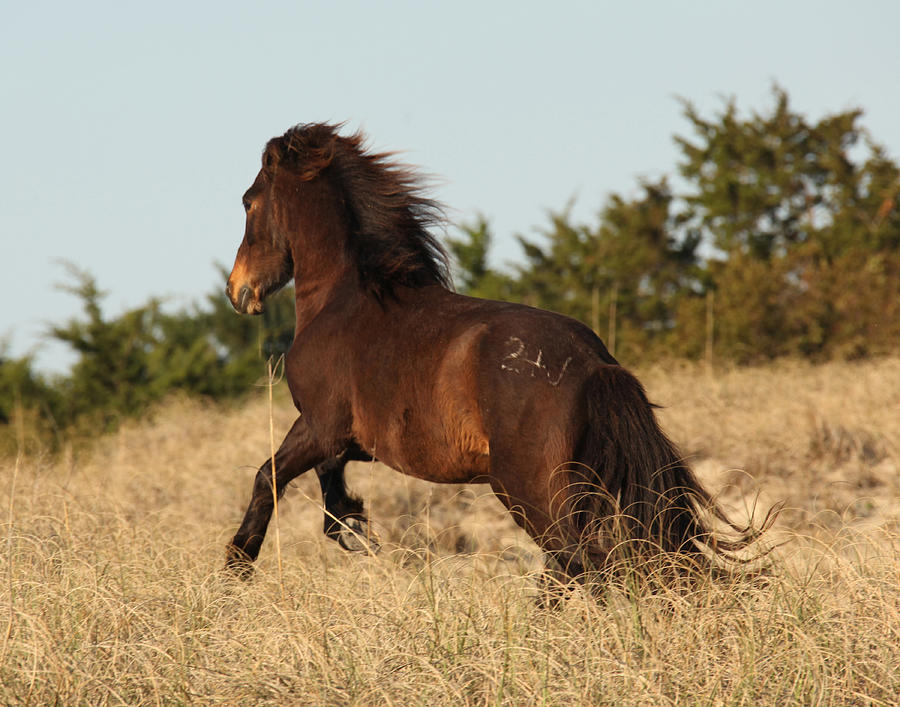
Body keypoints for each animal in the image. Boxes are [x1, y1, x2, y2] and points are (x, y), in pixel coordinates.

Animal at [223, 123, 768, 588]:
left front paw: (237, 569)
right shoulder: (348, 439)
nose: (237, 291)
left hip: (528, 490)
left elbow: (267, 477)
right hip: (575, 487)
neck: (344, 300)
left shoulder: (320, 424)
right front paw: (352, 524)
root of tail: (595, 364)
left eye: (249, 203)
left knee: (581, 564)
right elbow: (325, 481)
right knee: (574, 566)